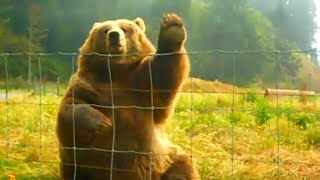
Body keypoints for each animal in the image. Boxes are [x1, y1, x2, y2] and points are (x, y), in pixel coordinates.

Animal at [56, 13, 199, 180]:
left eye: (125, 28)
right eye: (105, 30)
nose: (114, 35)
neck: (115, 73)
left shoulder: (141, 84)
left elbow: (162, 80)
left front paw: (172, 26)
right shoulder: (89, 86)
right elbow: (70, 109)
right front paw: (101, 122)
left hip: (166, 159)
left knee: (182, 166)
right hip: (82, 169)